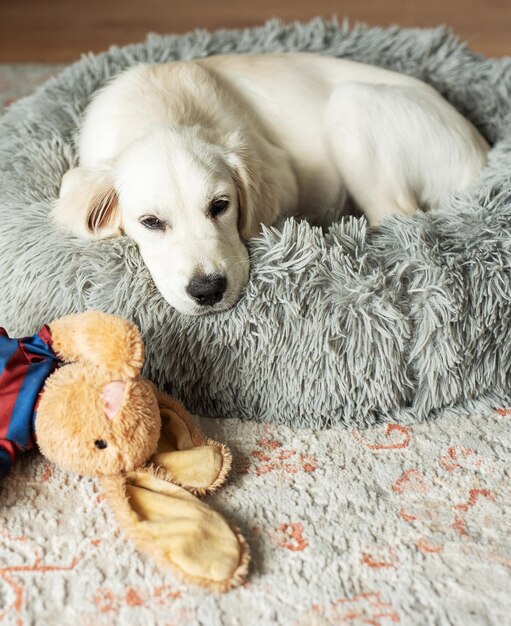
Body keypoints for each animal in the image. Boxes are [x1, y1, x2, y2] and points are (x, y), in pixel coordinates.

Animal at [54, 53, 490, 314]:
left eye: (220, 205)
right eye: (150, 222)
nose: (208, 292)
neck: (162, 111)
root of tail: (481, 153)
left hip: (350, 106)